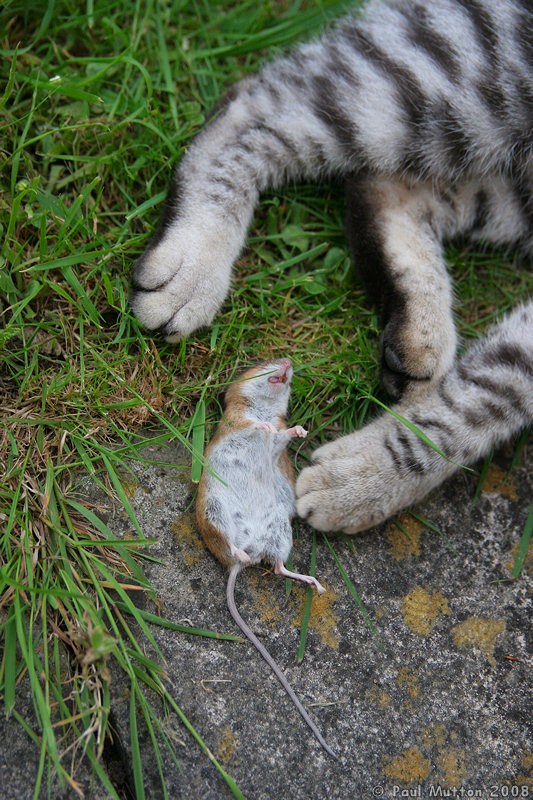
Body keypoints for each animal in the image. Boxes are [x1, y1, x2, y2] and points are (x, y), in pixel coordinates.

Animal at [130, 1, 532, 536]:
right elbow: (491, 392)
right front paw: (374, 475)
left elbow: (492, 393)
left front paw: (371, 479)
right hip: (463, 79)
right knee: (257, 106)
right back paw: (195, 262)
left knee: (383, 186)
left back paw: (419, 335)